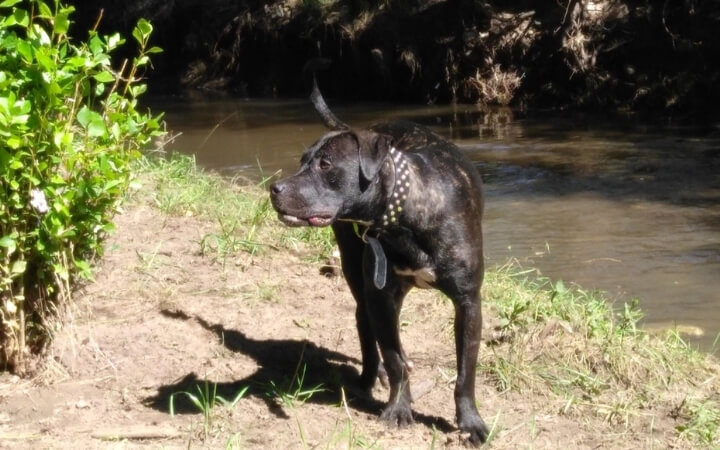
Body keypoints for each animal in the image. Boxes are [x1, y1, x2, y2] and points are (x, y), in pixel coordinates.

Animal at [270, 65, 490, 444]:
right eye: (302, 162)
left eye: (326, 165)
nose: (274, 188)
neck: (403, 212)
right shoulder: (382, 297)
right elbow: (394, 357)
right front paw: (398, 409)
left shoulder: (468, 303)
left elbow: (465, 372)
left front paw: (470, 422)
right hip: (355, 269)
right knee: (365, 323)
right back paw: (370, 378)